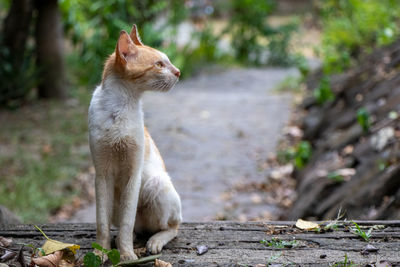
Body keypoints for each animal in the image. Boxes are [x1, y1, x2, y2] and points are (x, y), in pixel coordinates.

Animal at [89, 25, 183, 262]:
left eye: (167, 62)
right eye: (159, 64)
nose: (178, 72)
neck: (119, 108)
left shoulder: (133, 173)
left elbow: (126, 222)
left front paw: (127, 255)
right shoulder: (102, 174)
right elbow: (102, 224)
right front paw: (100, 252)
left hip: (156, 183)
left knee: (171, 227)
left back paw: (154, 241)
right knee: (134, 228)